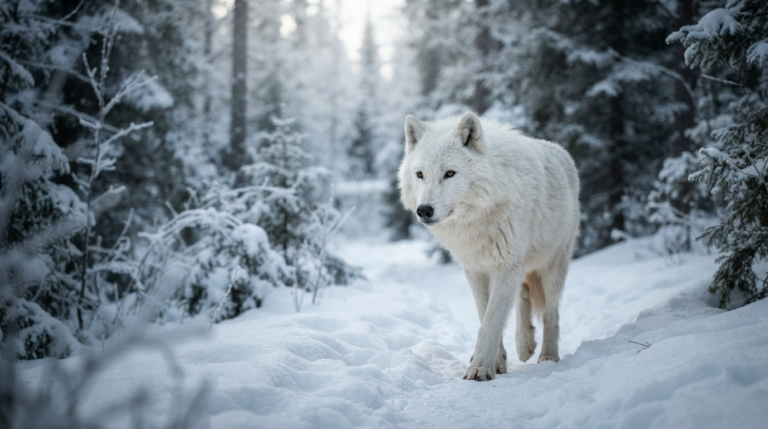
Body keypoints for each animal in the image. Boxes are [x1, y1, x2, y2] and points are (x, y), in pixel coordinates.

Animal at [398, 112, 580, 381]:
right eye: (420, 174)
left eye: (450, 173)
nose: (424, 211)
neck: (476, 219)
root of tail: (563, 153)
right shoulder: (476, 269)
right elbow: (485, 315)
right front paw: (496, 363)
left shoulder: (505, 265)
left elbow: (491, 322)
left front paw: (480, 368)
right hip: (523, 266)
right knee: (523, 296)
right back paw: (525, 344)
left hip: (553, 264)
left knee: (552, 312)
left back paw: (548, 356)